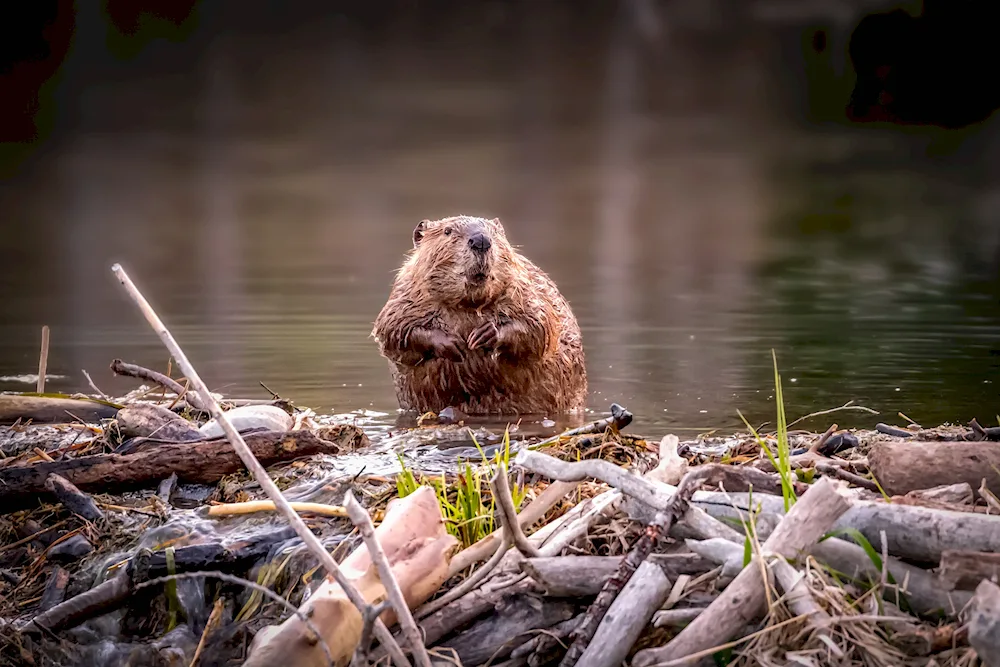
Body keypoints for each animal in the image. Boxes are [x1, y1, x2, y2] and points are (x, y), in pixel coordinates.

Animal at [372, 217, 584, 414]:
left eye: (494, 232)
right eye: (447, 231)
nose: (481, 240)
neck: (468, 304)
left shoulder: (525, 288)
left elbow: (540, 326)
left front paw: (484, 335)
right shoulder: (405, 295)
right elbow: (393, 331)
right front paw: (453, 344)